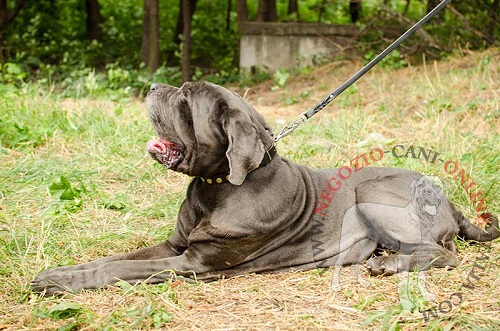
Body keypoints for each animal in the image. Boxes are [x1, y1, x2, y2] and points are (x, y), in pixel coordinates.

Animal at [32, 81, 500, 296]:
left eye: (184, 101)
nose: (151, 86)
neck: (216, 187)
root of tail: (449, 200)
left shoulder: (193, 263)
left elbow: (120, 269)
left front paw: (59, 281)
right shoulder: (175, 246)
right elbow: (115, 258)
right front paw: (59, 272)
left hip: (373, 196)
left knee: (445, 254)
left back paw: (389, 266)